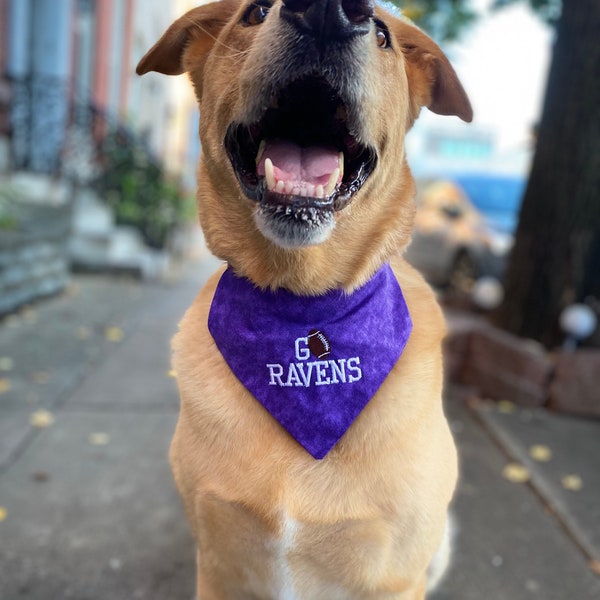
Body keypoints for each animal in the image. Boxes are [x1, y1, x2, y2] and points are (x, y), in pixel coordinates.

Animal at [138, 2, 472, 596]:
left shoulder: (397, 576)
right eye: (253, 12)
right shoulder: (218, 566)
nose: (328, 13)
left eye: (383, 34)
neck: (303, 300)